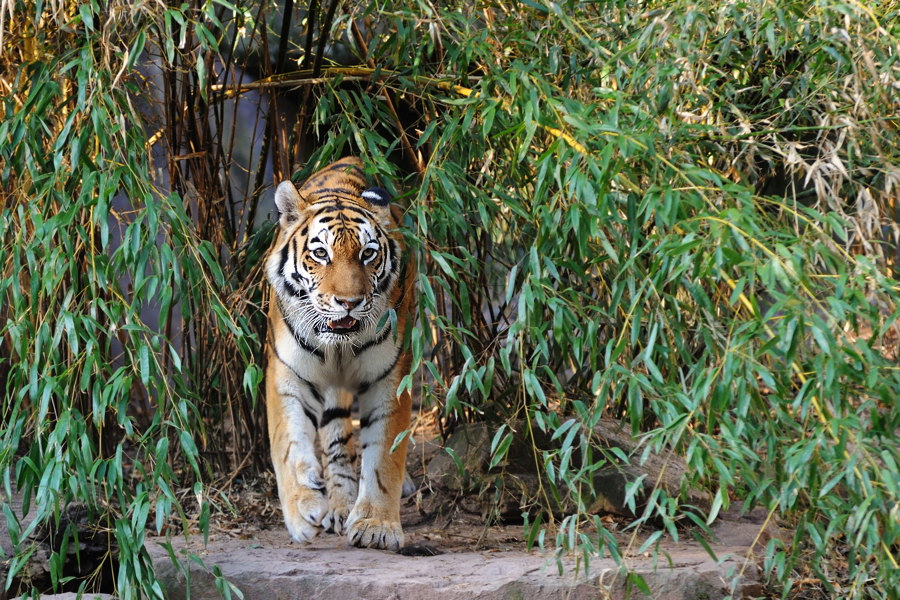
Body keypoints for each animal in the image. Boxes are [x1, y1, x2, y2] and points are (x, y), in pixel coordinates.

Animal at [264, 157, 416, 551]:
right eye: (321, 253)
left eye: (368, 254)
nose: (349, 302)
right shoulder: (287, 373)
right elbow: (288, 445)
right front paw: (303, 510)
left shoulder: (389, 376)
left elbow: (383, 456)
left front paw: (377, 525)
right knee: (336, 438)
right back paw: (338, 504)